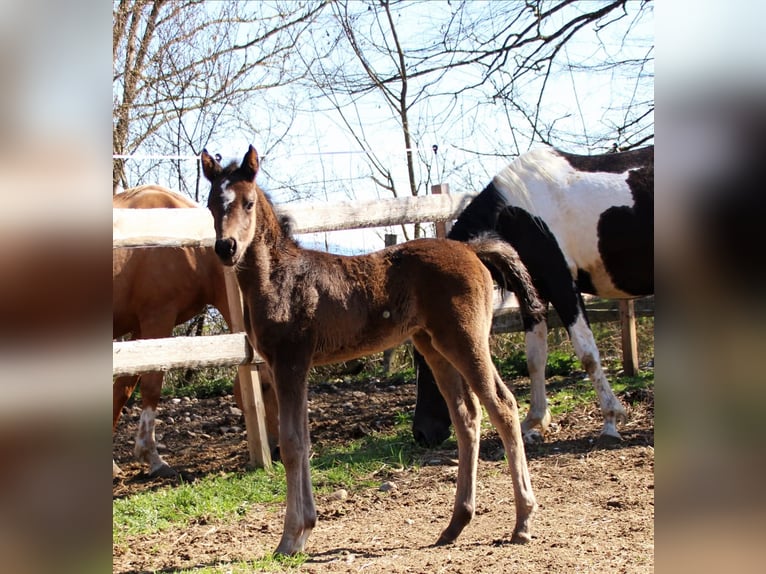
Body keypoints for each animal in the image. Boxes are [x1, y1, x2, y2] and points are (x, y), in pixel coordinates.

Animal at [113, 185, 279, 478]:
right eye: (265, 386)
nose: (278, 449)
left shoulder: (139, 330)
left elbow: (122, 388)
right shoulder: (157, 318)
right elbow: (152, 385)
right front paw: (152, 458)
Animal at [201, 145, 546, 556]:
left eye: (249, 202)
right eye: (210, 204)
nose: (226, 247)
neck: (279, 278)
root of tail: (471, 249)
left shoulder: (291, 361)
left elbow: (291, 443)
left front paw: (289, 538)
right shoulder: (286, 366)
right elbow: (302, 439)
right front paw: (305, 530)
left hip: (466, 339)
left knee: (503, 406)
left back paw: (523, 523)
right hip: (433, 345)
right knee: (467, 416)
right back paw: (455, 525)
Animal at [413, 145, 654, 447]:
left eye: (429, 361)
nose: (421, 434)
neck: (517, 217)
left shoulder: (561, 284)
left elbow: (587, 353)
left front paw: (610, 420)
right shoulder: (535, 292)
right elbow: (535, 357)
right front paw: (533, 422)